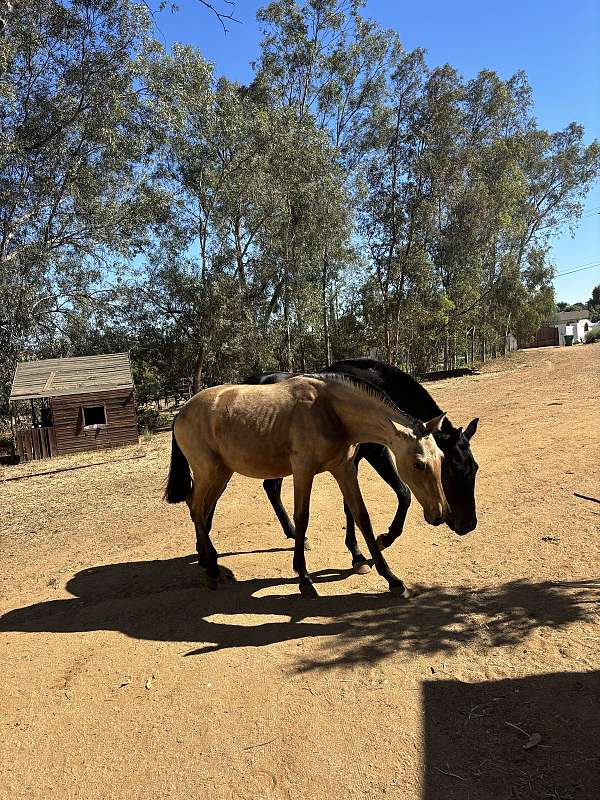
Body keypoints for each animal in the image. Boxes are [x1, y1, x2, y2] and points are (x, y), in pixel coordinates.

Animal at [166, 372, 448, 596]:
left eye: (442, 458)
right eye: (419, 464)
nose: (440, 514)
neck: (330, 411)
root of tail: (182, 411)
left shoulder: (344, 469)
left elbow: (362, 517)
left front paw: (391, 578)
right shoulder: (303, 471)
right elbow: (302, 518)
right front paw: (303, 578)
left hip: (221, 474)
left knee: (200, 509)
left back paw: (207, 561)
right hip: (209, 472)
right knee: (196, 508)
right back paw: (212, 570)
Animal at [244, 356, 478, 568]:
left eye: (475, 468)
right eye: (453, 468)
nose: (468, 525)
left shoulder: (375, 452)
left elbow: (403, 494)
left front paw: (383, 540)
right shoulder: (361, 457)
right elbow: (353, 506)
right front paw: (358, 553)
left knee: (271, 488)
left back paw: (293, 533)